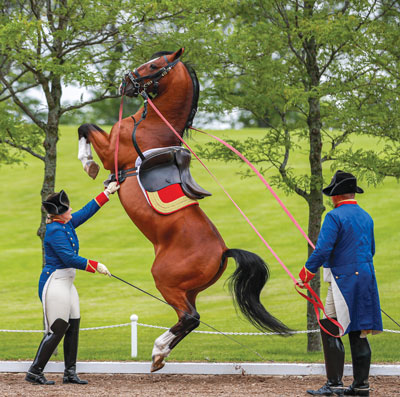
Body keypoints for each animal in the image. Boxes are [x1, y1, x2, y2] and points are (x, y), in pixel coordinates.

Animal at [78, 48, 290, 370]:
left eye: (153, 65)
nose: (126, 81)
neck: (151, 125)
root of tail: (223, 252)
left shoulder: (110, 149)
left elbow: (85, 129)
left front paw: (87, 164)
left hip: (166, 280)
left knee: (190, 317)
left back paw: (158, 349)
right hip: (187, 290)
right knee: (189, 318)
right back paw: (160, 355)